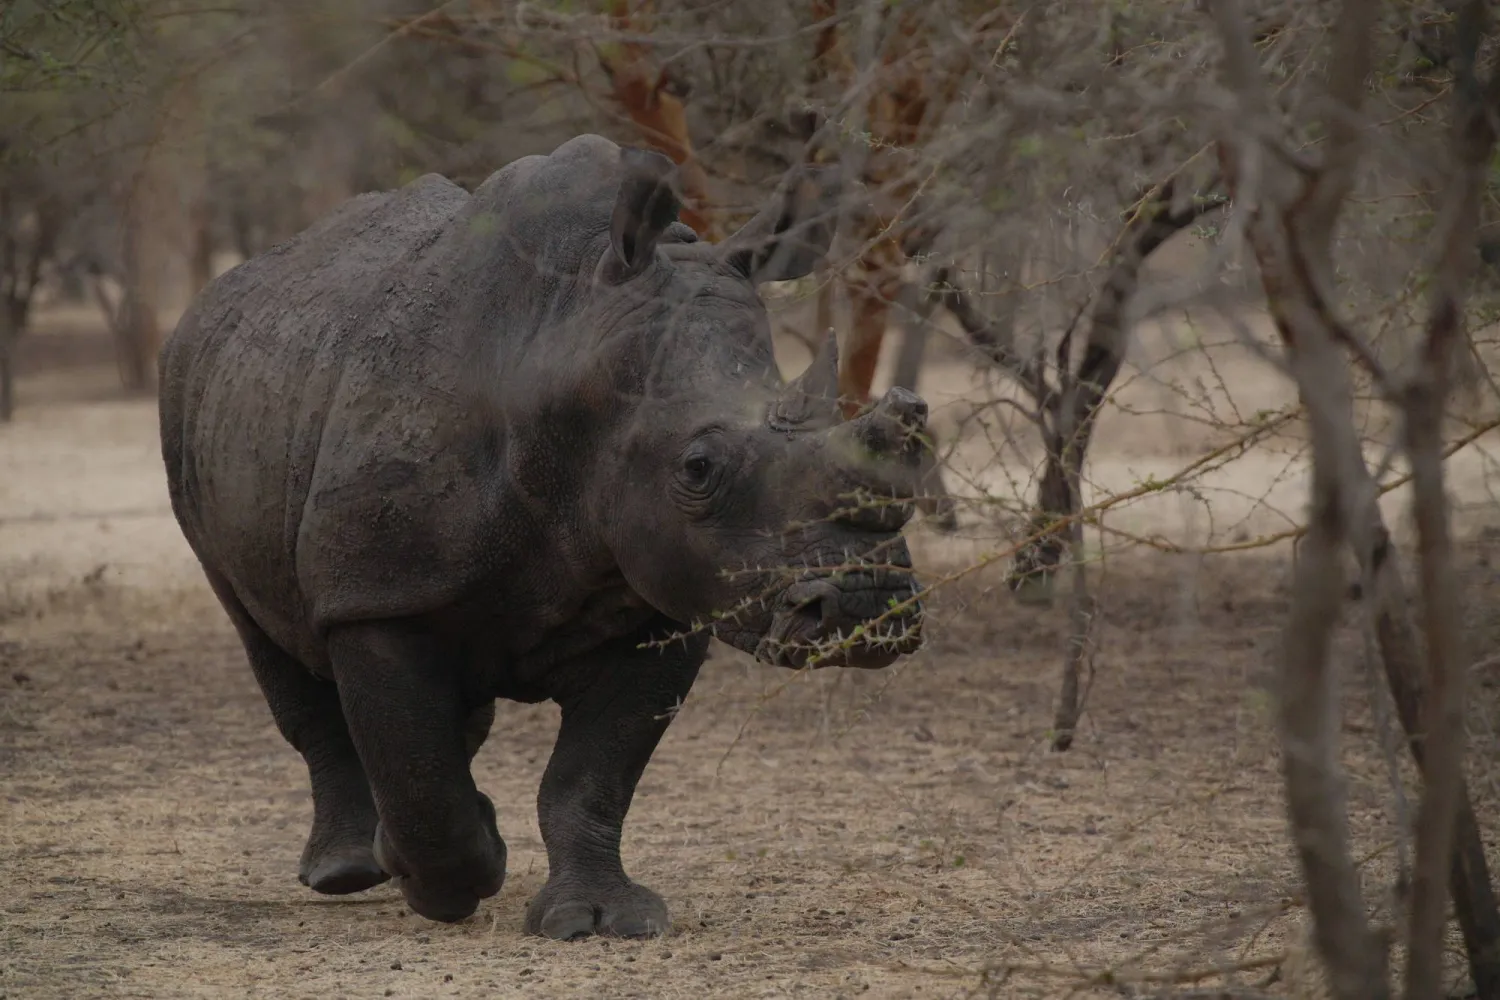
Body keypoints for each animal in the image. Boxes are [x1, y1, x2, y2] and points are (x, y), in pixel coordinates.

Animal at [158, 134, 930, 939]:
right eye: (698, 467)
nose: (864, 607)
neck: (566, 351)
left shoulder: (666, 601)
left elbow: (590, 780)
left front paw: (600, 919)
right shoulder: (376, 595)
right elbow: (417, 770)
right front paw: (446, 883)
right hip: (190, 409)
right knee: (267, 635)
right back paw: (348, 871)